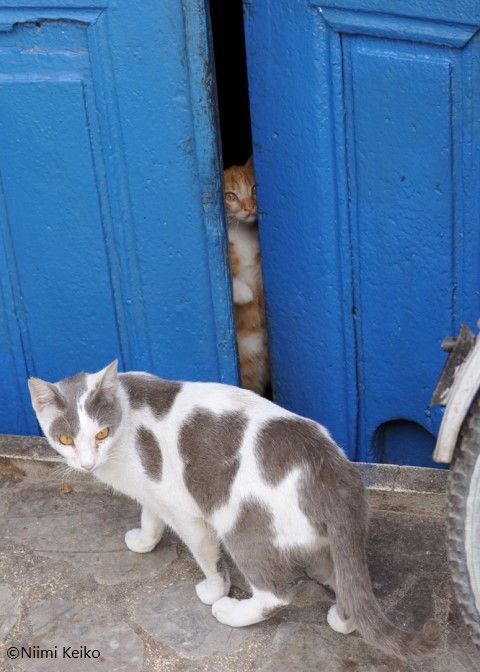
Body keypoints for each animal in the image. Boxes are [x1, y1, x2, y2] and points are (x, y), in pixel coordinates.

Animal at [28, 361, 438, 659]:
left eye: (101, 433)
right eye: (65, 438)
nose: (86, 463)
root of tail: (333, 471)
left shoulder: (186, 510)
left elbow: (207, 557)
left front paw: (213, 590)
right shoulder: (153, 494)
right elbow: (150, 516)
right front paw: (144, 541)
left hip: (243, 526)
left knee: (276, 594)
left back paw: (232, 612)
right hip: (320, 541)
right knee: (344, 580)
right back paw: (343, 616)